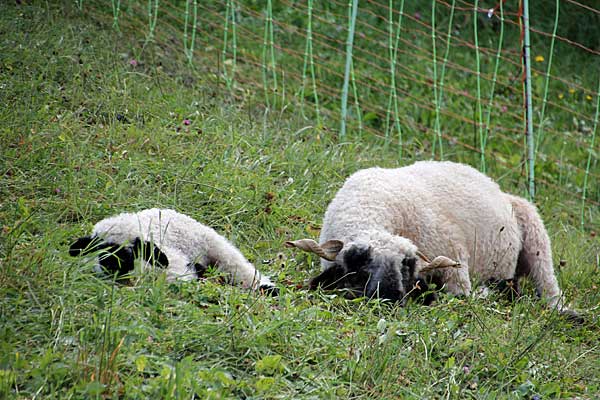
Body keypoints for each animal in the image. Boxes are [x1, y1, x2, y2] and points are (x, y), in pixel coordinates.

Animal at [70, 209, 276, 294]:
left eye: (133, 250)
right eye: (99, 248)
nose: (112, 266)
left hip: (213, 243)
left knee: (238, 266)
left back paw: (266, 287)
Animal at [288, 161, 580, 320]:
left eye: (407, 266)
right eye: (359, 266)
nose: (389, 299)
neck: (369, 207)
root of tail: (496, 186)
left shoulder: (455, 265)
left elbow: (460, 297)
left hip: (535, 232)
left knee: (548, 290)